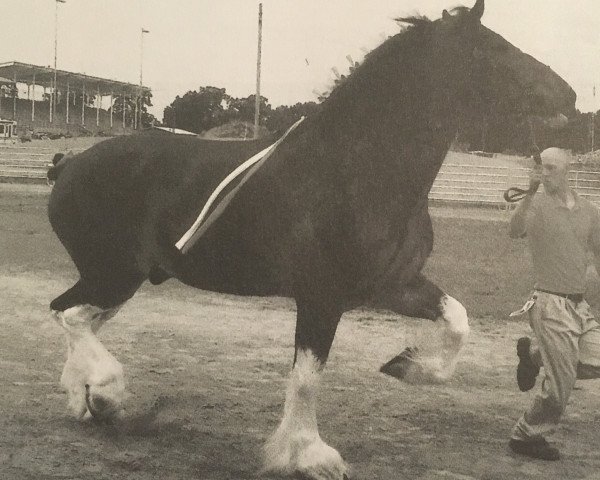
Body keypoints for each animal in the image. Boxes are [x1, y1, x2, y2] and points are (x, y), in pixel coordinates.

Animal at [47, 1, 572, 478]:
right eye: (495, 50)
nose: (567, 96)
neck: (355, 170)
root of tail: (67, 164)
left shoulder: (394, 286)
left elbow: (458, 321)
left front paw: (408, 365)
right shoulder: (322, 297)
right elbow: (306, 379)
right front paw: (309, 455)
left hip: (123, 280)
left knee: (76, 317)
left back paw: (87, 400)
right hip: (114, 275)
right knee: (70, 315)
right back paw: (105, 391)